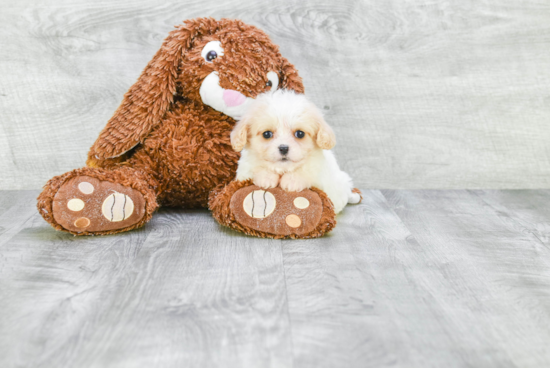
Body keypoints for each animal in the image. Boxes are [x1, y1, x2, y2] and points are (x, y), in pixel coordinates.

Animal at [232, 89, 364, 213]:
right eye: (267, 134)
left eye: (300, 134)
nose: (283, 148)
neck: (283, 169)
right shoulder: (244, 169)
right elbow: (256, 168)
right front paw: (266, 178)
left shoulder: (318, 170)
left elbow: (305, 170)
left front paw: (291, 181)